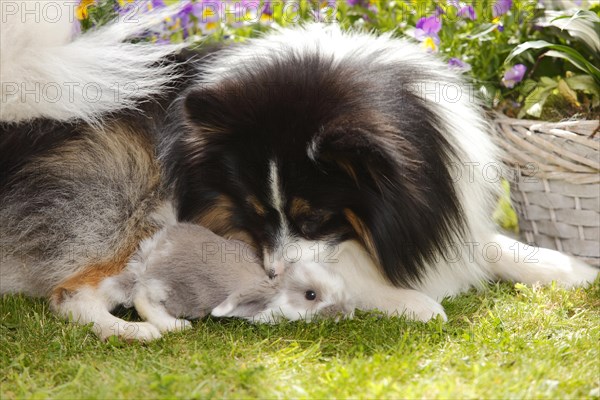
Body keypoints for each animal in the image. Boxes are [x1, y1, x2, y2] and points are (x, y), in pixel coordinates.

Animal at [1, 2, 596, 340]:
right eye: (257, 215)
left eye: (311, 218)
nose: (269, 274)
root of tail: (24, 124)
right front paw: (412, 302)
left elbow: (484, 243)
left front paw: (567, 269)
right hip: (131, 207)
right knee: (70, 295)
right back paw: (137, 332)